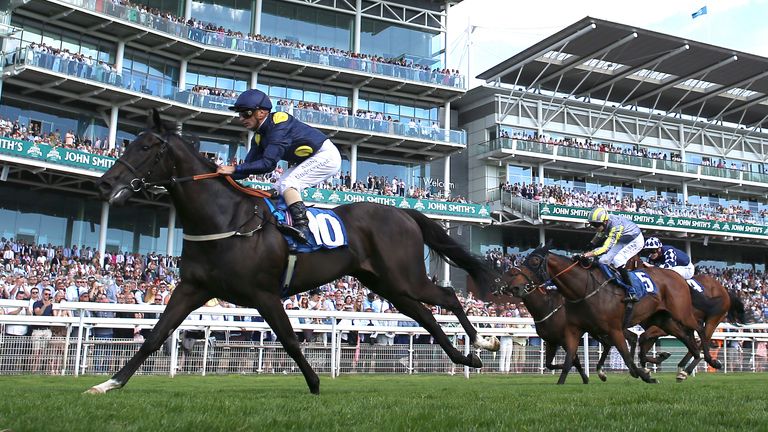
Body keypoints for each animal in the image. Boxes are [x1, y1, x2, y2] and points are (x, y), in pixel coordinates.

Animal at [87, 110, 500, 394]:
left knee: (446, 295)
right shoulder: (193, 288)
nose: (104, 185)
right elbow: (156, 334)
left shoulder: (263, 293)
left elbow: (288, 339)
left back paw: (483, 341)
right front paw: (110, 383)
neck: (225, 218)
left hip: (404, 276)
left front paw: (315, 383)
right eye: (127, 142)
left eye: (144, 147)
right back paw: (466, 356)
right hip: (387, 285)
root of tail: (403, 211)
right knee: (425, 315)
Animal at [498, 245, 704, 384]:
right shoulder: (566, 334)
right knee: (683, 336)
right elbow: (565, 361)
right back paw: (679, 365)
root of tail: (677, 276)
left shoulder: (610, 329)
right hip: (661, 319)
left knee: (698, 332)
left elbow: (625, 357)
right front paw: (567, 380)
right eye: (512, 270)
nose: (514, 287)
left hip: (681, 314)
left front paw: (645, 375)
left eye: (533, 261)